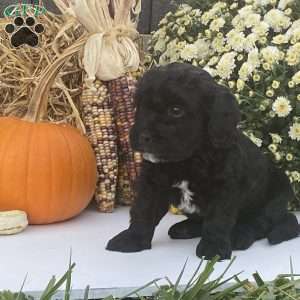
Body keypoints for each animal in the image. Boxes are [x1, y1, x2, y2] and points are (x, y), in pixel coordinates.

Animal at [106, 62, 298, 258]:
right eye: (139, 106)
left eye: (176, 110)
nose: (142, 136)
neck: (187, 159)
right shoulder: (152, 183)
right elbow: (143, 210)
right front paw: (132, 239)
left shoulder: (224, 189)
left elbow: (217, 219)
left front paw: (213, 249)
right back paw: (185, 228)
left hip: (276, 196)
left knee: (260, 222)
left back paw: (240, 236)